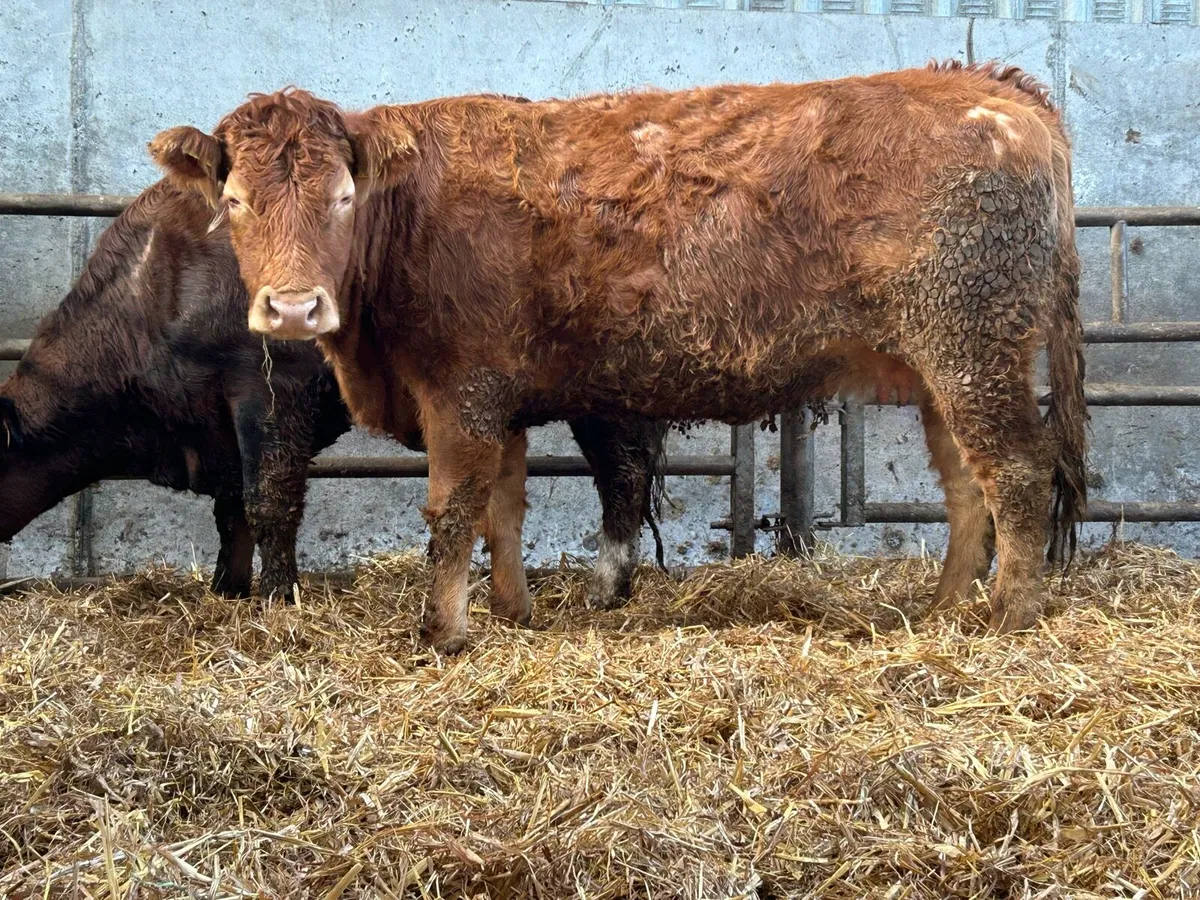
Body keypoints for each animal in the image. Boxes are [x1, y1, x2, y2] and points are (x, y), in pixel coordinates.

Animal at [0, 180, 667, 610]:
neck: (156, 285)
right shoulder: (219, 428)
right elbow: (231, 511)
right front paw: (226, 589)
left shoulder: (267, 396)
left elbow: (268, 502)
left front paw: (278, 598)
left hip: (610, 399)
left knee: (623, 477)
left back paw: (605, 591)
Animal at [150, 61, 1088, 653]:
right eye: (236, 201)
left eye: (343, 197)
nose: (293, 307)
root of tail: (989, 87)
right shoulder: (502, 398)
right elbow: (504, 510)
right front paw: (512, 611)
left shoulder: (461, 393)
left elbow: (453, 510)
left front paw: (442, 632)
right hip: (940, 367)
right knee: (966, 482)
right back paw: (945, 604)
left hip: (972, 346)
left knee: (1017, 470)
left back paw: (1007, 617)